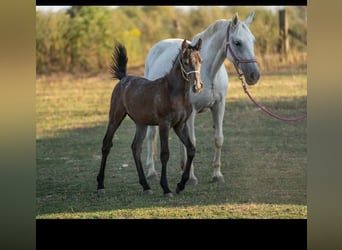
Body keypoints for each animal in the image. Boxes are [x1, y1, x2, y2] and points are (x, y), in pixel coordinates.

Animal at [144, 12, 260, 184]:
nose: (254, 75)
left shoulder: (219, 106)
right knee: (151, 135)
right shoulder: (191, 112)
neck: (208, 73)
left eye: (253, 41)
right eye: (237, 42)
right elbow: (192, 142)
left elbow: (218, 139)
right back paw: (151, 172)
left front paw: (217, 175)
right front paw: (191, 178)